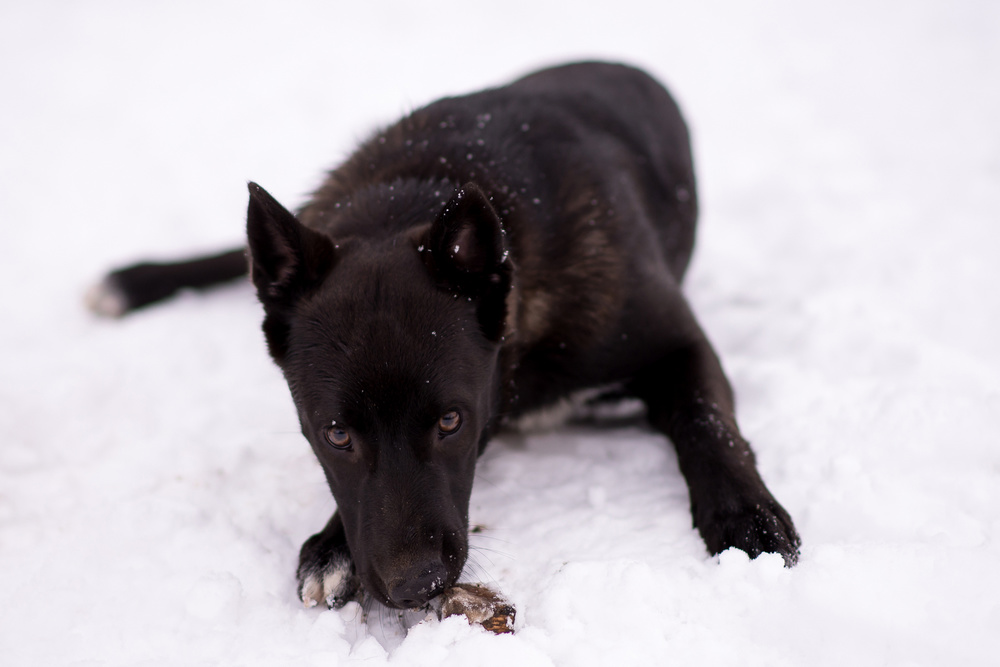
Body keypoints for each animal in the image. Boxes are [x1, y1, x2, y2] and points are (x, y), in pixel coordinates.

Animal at [92, 61, 796, 612]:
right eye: (336, 435)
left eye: (452, 421)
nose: (416, 587)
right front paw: (331, 546)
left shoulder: (677, 342)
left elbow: (707, 422)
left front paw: (745, 514)